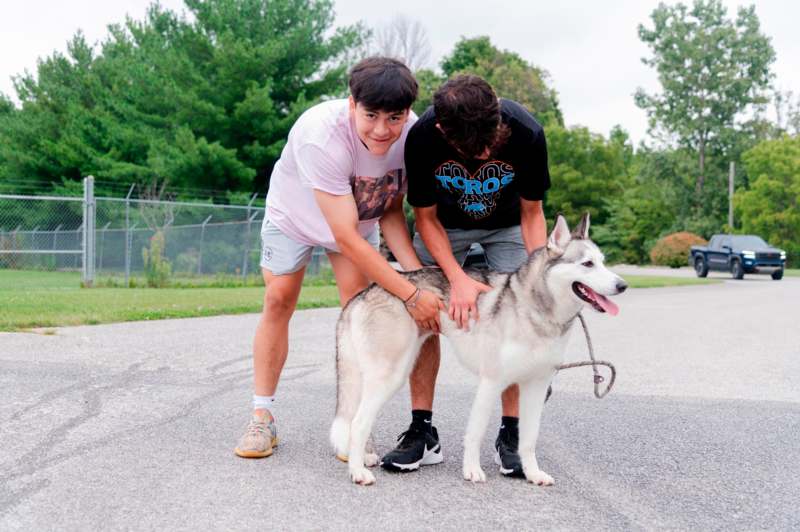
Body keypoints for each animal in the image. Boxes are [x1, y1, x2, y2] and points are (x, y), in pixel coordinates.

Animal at [330, 213, 624, 486]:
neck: (535, 310)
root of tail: (366, 292)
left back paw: (363, 459)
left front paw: (532, 473)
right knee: (357, 423)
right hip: (390, 375)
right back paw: (358, 471)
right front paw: (471, 471)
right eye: (587, 264)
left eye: (602, 261)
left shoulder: (536, 387)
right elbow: (475, 433)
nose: (622, 285)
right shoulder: (491, 382)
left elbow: (528, 439)